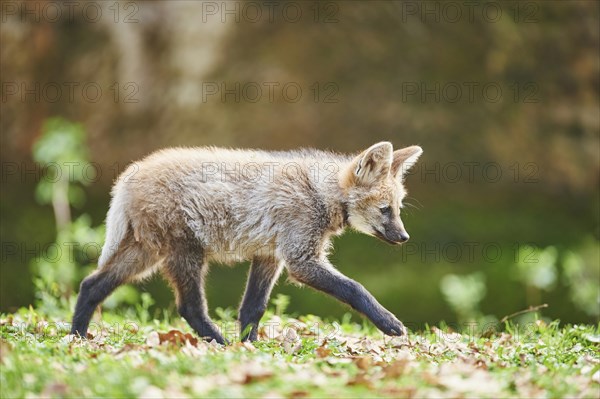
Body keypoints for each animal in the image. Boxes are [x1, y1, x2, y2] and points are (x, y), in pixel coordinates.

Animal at [70, 143, 422, 344]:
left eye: (398, 209)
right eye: (385, 210)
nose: (404, 237)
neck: (320, 193)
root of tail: (128, 175)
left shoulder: (269, 256)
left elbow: (253, 307)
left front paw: (249, 347)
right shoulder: (301, 260)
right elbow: (355, 288)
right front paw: (390, 323)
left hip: (147, 254)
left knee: (91, 285)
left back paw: (77, 337)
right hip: (185, 254)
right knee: (189, 307)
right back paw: (218, 342)